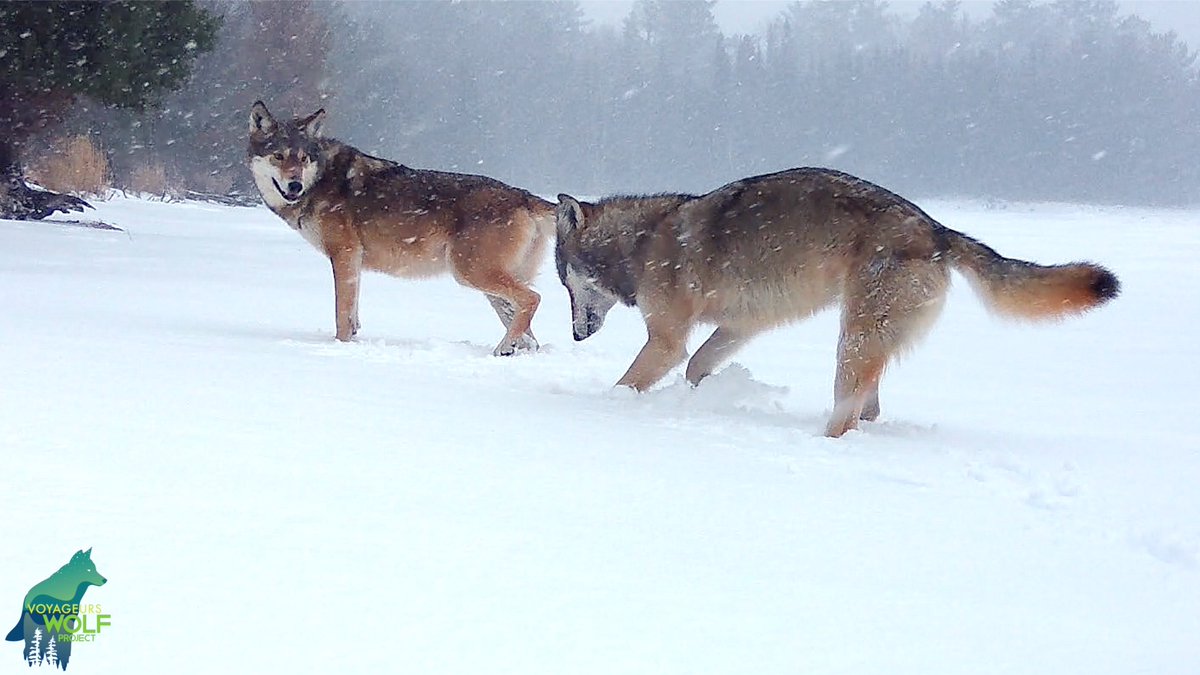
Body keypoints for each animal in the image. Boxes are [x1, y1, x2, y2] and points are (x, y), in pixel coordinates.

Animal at [247, 101, 555, 355]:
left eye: (303, 159)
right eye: (278, 156)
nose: (294, 185)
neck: (321, 180)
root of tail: (524, 196)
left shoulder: (344, 254)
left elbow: (341, 315)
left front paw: (340, 349)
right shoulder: (353, 261)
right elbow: (353, 314)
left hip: (470, 273)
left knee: (533, 299)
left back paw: (504, 347)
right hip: (486, 284)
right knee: (530, 335)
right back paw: (512, 350)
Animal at [554, 168, 1119, 437]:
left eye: (565, 284)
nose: (577, 336)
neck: (643, 244)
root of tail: (939, 230)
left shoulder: (667, 340)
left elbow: (631, 381)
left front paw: (605, 406)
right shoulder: (739, 326)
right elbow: (697, 366)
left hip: (853, 342)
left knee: (846, 418)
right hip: (864, 344)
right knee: (869, 410)